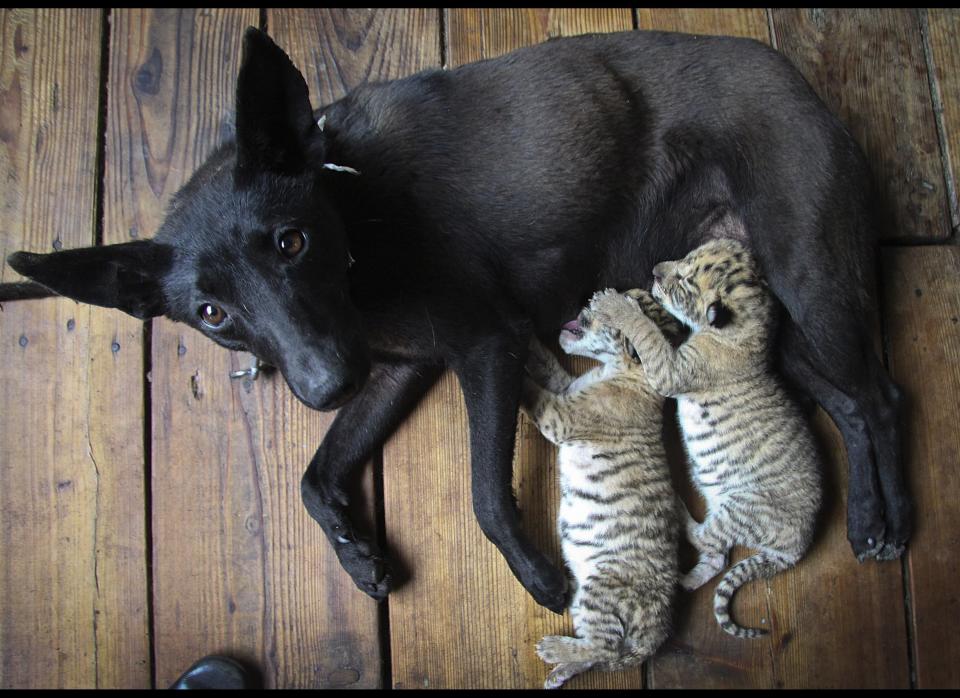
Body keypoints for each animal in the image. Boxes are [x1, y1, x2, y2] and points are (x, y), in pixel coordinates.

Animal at [5, 27, 908, 608]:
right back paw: (866, 519)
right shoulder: (396, 366)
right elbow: (315, 474)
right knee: (850, 402)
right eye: (213, 313)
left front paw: (540, 579)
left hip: (808, 277)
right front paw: (357, 553)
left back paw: (893, 525)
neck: (355, 214)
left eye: (291, 241)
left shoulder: (485, 346)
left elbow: (482, 490)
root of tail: (795, 78)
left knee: (883, 397)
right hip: (748, 320)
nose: (324, 386)